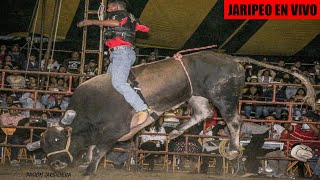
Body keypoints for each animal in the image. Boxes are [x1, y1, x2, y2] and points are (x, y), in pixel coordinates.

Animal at [26, 50, 316, 176]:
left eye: (56, 139)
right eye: (44, 143)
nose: (56, 164)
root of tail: (231, 58)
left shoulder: (112, 131)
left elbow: (98, 150)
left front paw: (88, 168)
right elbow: (91, 149)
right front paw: (84, 163)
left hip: (223, 94)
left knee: (234, 119)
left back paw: (233, 149)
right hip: (196, 94)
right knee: (202, 113)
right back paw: (175, 132)